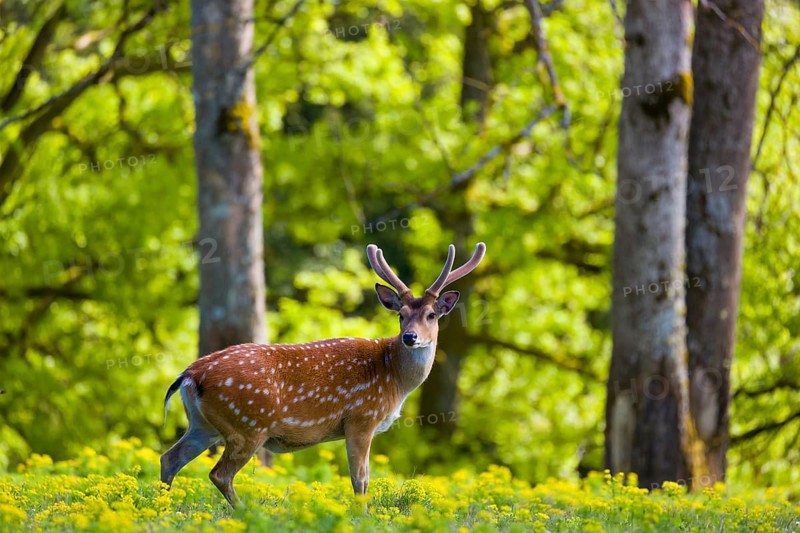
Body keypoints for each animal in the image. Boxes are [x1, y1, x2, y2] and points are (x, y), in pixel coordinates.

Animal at [160, 242, 486, 506]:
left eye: (431, 315)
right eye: (400, 315)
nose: (410, 337)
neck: (394, 378)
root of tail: (190, 374)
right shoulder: (361, 418)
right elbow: (360, 479)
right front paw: (361, 517)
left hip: (204, 425)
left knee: (169, 458)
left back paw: (163, 507)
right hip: (248, 425)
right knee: (219, 474)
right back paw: (245, 512)